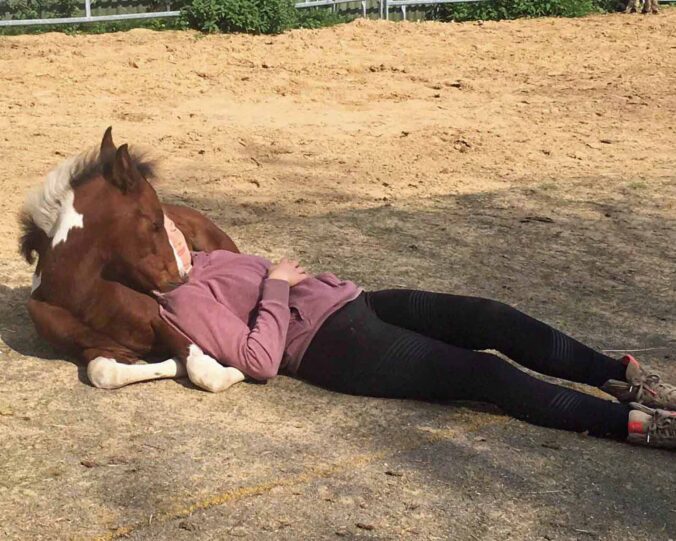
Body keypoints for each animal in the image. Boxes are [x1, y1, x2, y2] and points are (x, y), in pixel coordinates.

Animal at [21, 131, 248, 392]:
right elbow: (104, 372)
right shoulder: (99, 347)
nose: (181, 277)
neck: (83, 295)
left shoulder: (167, 321)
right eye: (156, 223)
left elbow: (205, 371)